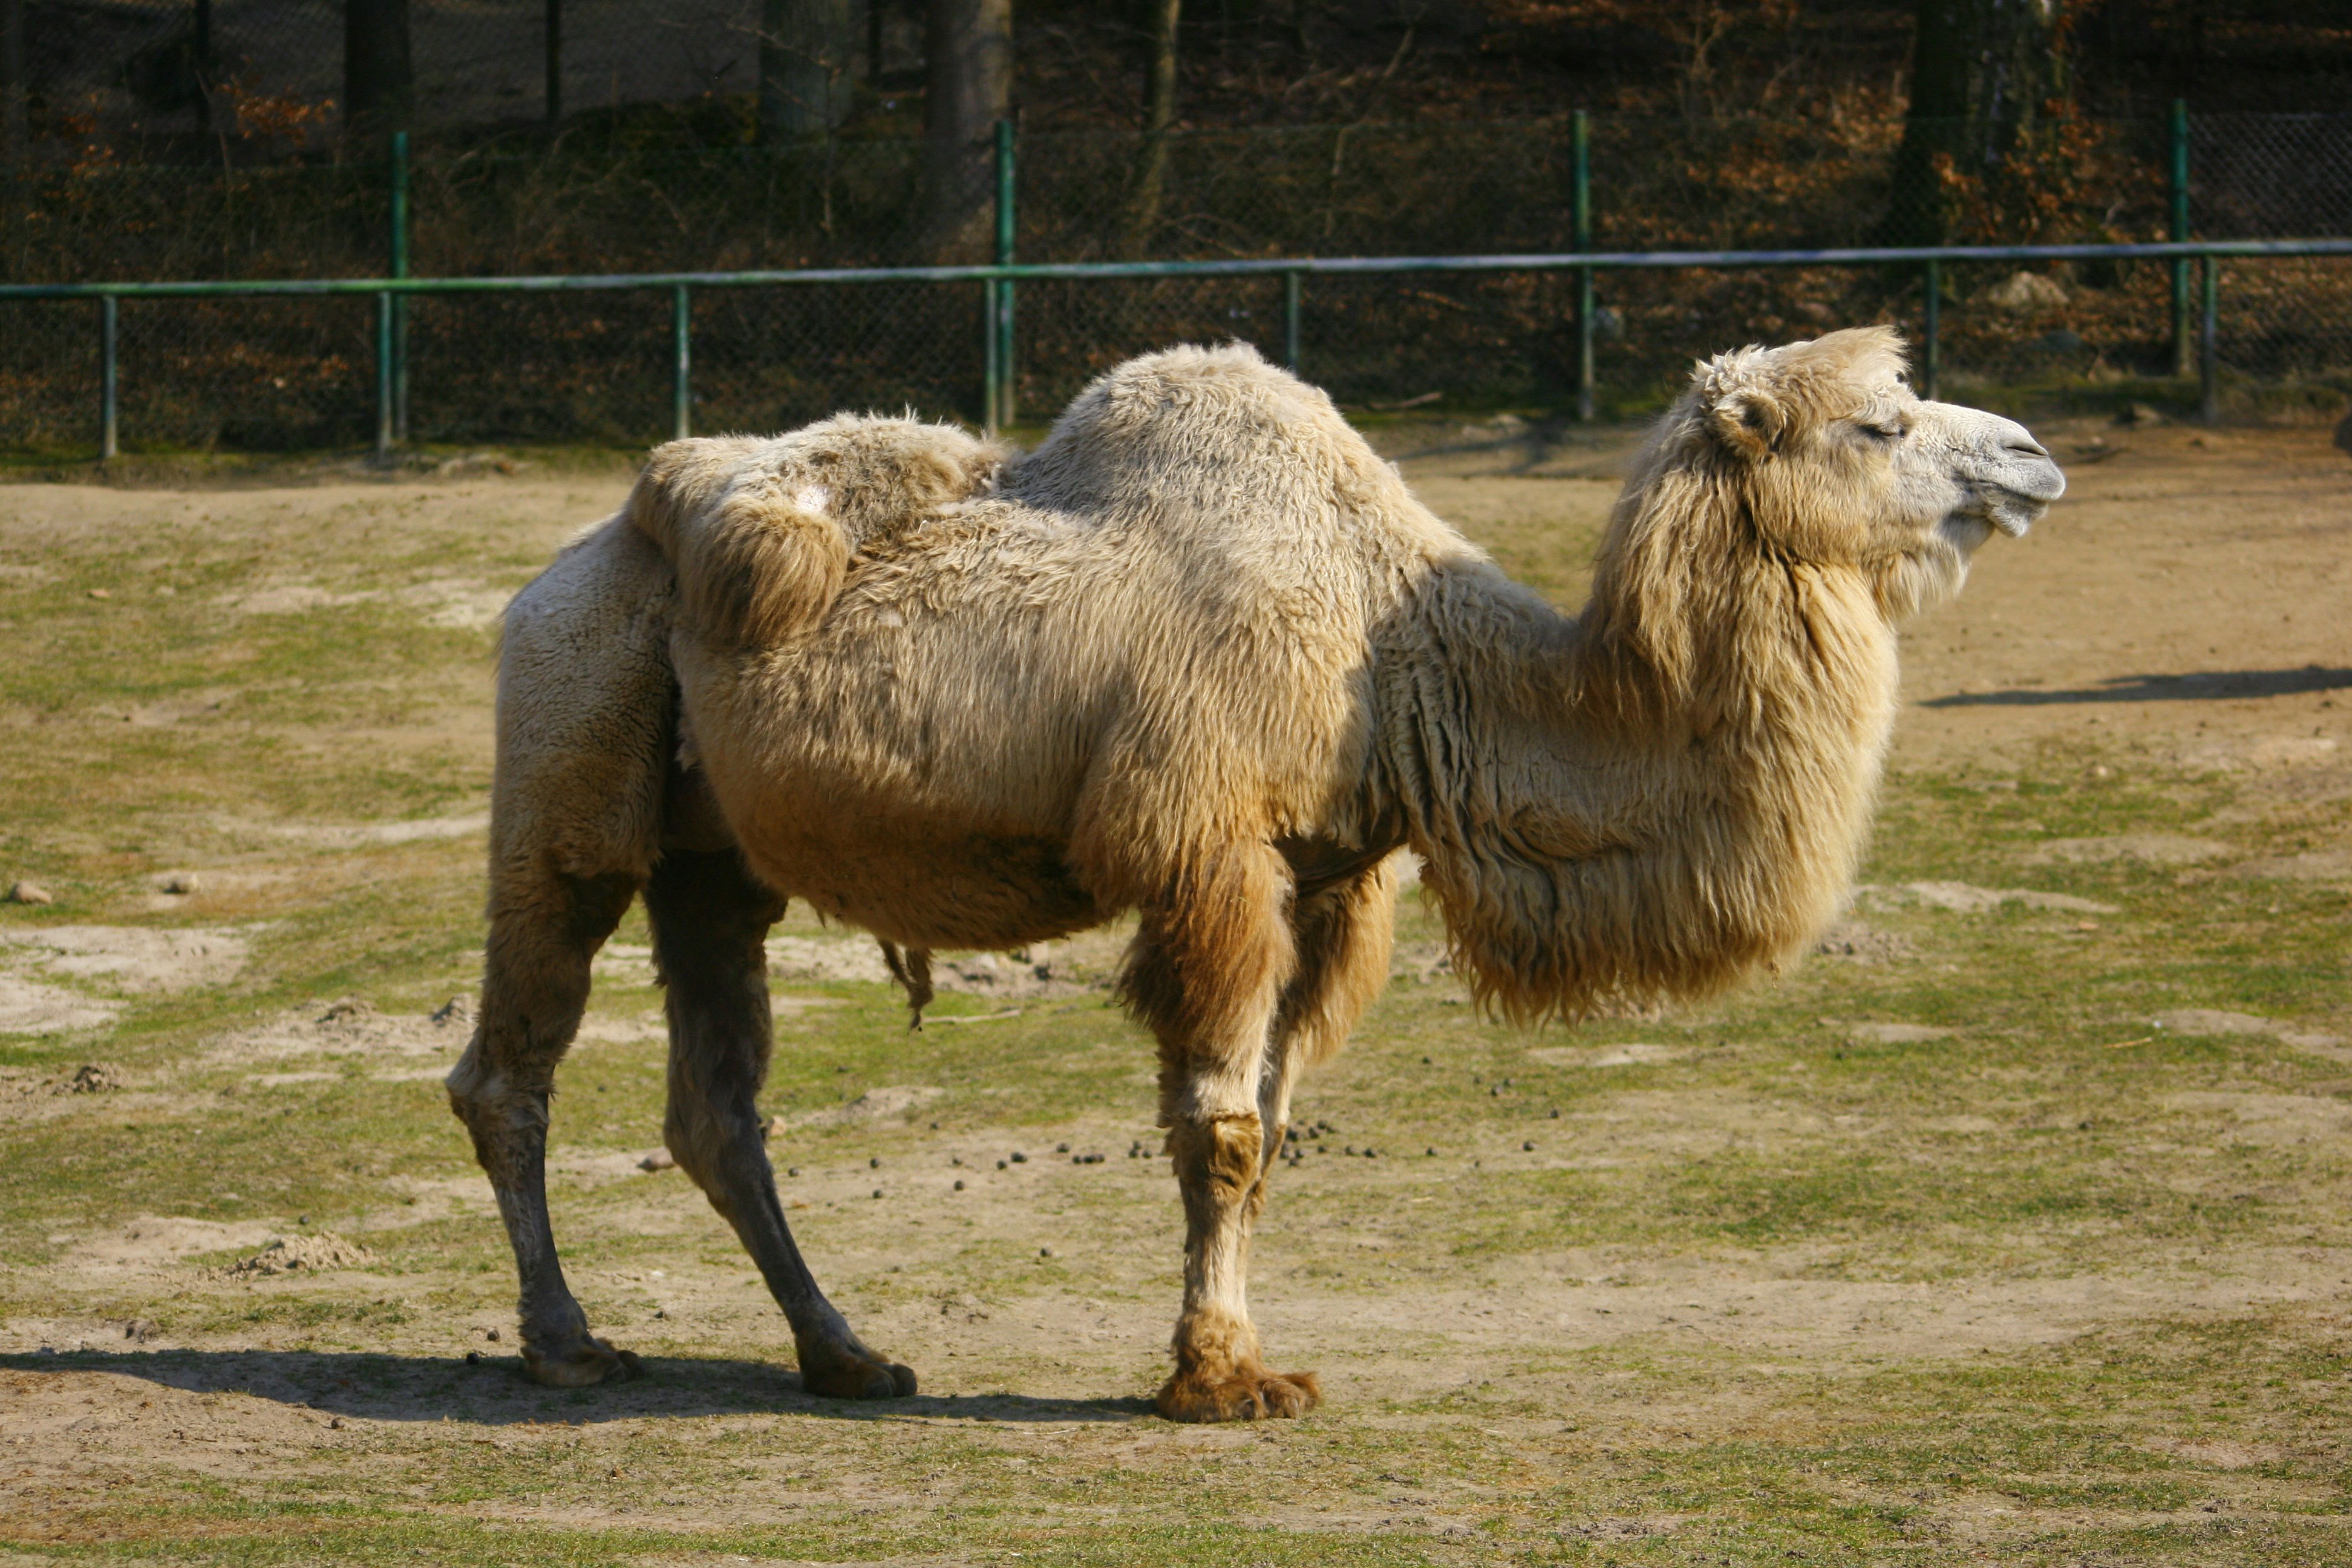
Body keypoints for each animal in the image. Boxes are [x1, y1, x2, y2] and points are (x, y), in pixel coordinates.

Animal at [446, 327, 2063, 1421]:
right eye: (1880, 420)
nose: (2034, 459)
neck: (1396, 655)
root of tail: (572, 561)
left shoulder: (1333, 877)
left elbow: (1273, 1129)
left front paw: (1234, 1354)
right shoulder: (1210, 853)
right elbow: (1218, 1130)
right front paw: (1220, 1382)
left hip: (714, 860)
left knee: (716, 1108)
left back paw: (846, 1354)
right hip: (567, 764)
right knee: (510, 1063)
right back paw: (568, 1342)